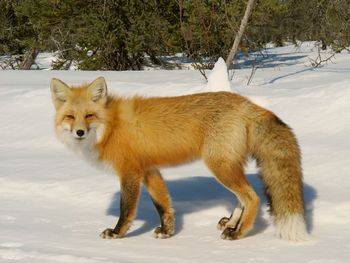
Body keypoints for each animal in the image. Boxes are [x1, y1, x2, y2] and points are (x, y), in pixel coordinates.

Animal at [50, 76, 308, 241]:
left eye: (89, 116)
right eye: (71, 117)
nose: (79, 132)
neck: (112, 126)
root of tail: (247, 104)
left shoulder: (130, 172)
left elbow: (126, 209)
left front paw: (117, 233)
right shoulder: (150, 170)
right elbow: (163, 204)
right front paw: (167, 231)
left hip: (219, 167)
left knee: (252, 197)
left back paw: (238, 233)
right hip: (229, 166)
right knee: (242, 198)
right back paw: (231, 223)